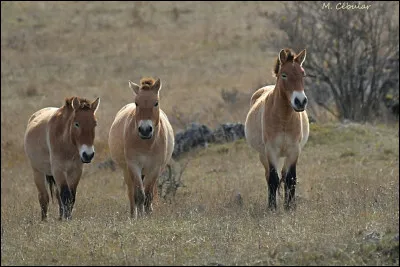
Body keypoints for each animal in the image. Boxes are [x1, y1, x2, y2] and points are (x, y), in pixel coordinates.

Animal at [108, 77, 174, 220]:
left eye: (156, 103)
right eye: (137, 103)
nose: (145, 130)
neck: (146, 145)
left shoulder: (154, 168)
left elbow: (148, 195)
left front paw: (148, 216)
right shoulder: (134, 166)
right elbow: (139, 195)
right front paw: (140, 218)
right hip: (127, 171)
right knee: (131, 193)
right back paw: (133, 215)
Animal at [244, 48, 310, 211]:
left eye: (303, 74)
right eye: (284, 75)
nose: (300, 101)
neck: (284, 119)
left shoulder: (294, 150)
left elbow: (291, 179)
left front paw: (290, 207)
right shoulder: (271, 151)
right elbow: (273, 179)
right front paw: (272, 208)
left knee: (285, 176)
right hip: (263, 155)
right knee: (269, 176)